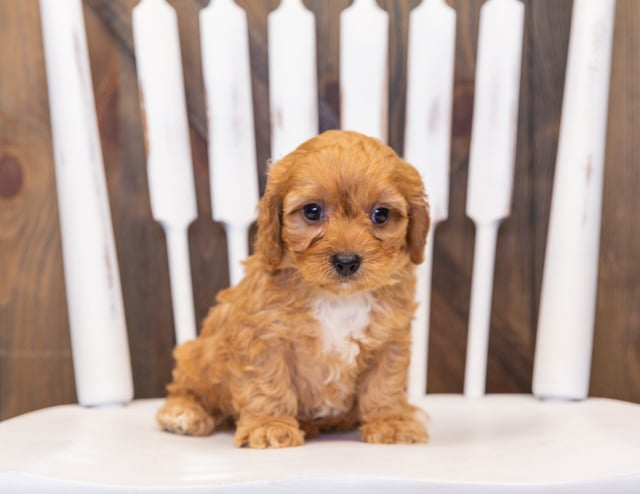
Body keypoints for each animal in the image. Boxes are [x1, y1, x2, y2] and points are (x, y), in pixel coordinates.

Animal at [158, 128, 432, 448]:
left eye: (381, 215)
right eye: (312, 211)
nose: (347, 261)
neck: (336, 298)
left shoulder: (389, 339)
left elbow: (384, 384)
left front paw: (391, 423)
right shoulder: (263, 336)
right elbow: (267, 384)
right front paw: (269, 425)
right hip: (197, 356)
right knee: (186, 386)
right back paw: (182, 413)